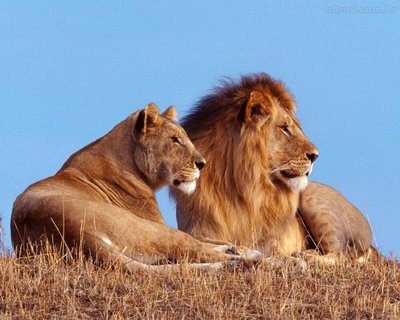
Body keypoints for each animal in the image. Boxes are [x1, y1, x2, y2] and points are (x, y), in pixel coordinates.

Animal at [11, 102, 260, 270]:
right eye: (174, 140)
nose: (202, 163)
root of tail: (74, 232)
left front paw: (233, 246)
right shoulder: (155, 222)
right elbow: (203, 241)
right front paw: (239, 250)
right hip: (148, 229)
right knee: (194, 250)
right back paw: (248, 259)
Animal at [173, 74, 376, 262]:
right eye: (284, 127)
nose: (315, 155)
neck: (238, 187)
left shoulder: (269, 241)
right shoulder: (195, 229)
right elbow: (203, 242)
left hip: (312, 197)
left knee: (339, 256)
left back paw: (306, 255)